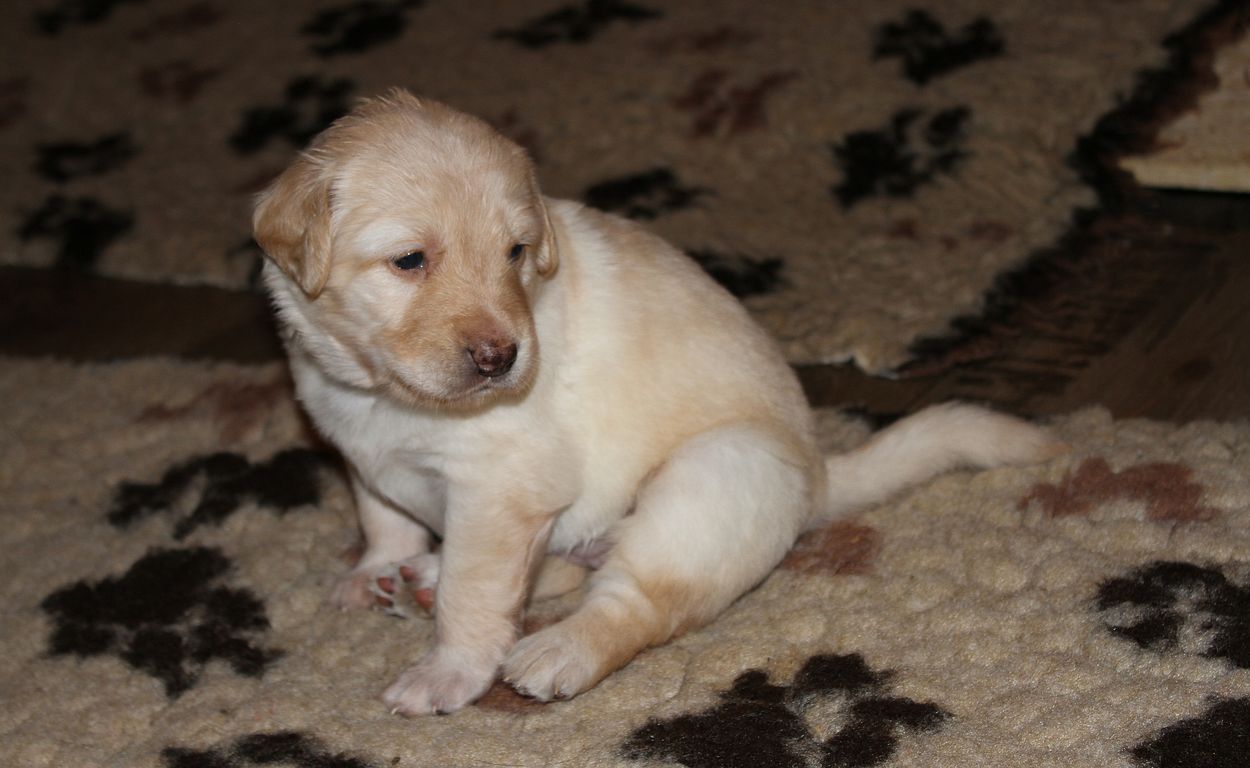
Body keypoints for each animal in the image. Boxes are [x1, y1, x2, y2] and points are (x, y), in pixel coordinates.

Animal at [253, 89, 1064, 716]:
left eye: (516, 254)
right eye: (409, 261)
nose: (502, 359)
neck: (380, 390)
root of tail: (818, 474)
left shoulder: (500, 490)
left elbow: (476, 593)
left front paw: (447, 671)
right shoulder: (362, 451)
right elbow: (382, 515)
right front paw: (376, 570)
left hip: (711, 481)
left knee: (630, 603)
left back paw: (555, 650)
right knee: (568, 567)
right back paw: (422, 579)